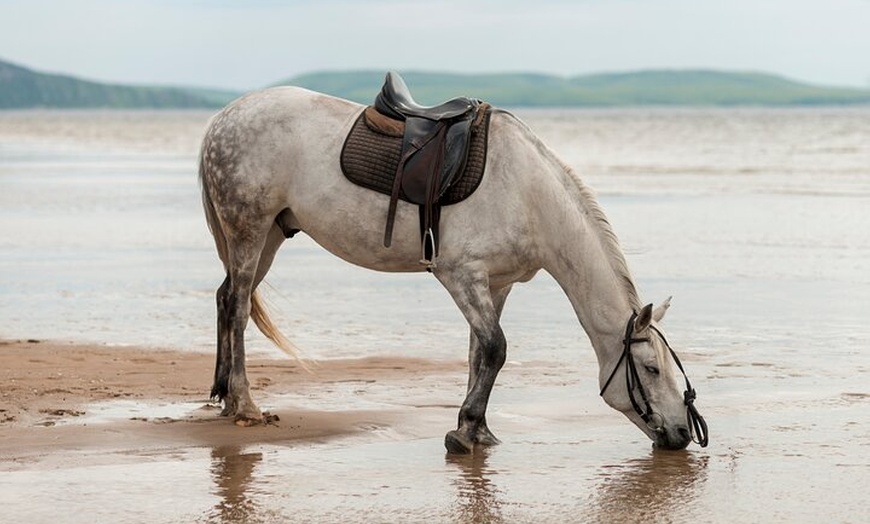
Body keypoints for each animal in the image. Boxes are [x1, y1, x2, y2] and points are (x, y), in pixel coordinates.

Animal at [198, 83, 708, 454]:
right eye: (651, 369)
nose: (683, 435)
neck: (529, 194)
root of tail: (223, 118)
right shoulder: (462, 276)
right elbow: (496, 347)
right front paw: (464, 432)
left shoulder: (497, 285)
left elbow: (479, 353)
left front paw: (477, 429)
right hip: (249, 230)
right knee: (239, 307)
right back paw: (245, 405)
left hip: (270, 235)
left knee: (226, 298)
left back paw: (223, 398)